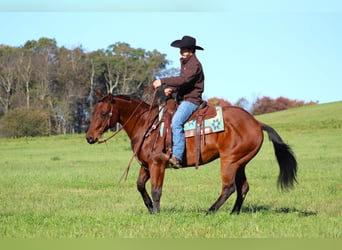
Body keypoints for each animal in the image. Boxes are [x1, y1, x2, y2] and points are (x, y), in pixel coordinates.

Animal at [85, 93, 296, 214]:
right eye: (94, 111)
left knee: (229, 188)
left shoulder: (157, 164)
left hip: (229, 161)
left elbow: (156, 190)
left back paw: (209, 212)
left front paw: (157, 213)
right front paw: (150, 208)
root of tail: (257, 123)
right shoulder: (146, 165)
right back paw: (233, 213)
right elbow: (140, 186)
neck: (147, 125)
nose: (89, 137)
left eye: (103, 113)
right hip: (240, 163)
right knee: (242, 187)